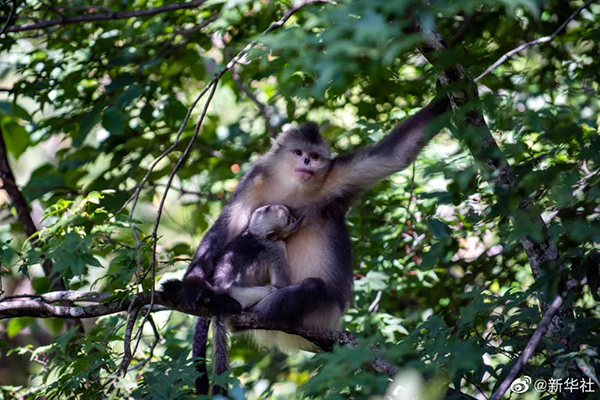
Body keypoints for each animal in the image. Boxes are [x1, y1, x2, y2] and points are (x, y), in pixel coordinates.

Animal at [163, 203, 302, 394]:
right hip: (241, 296)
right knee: (269, 290)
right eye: (288, 220)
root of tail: (219, 295)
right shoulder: (276, 248)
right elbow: (281, 285)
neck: (255, 236)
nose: (295, 220)